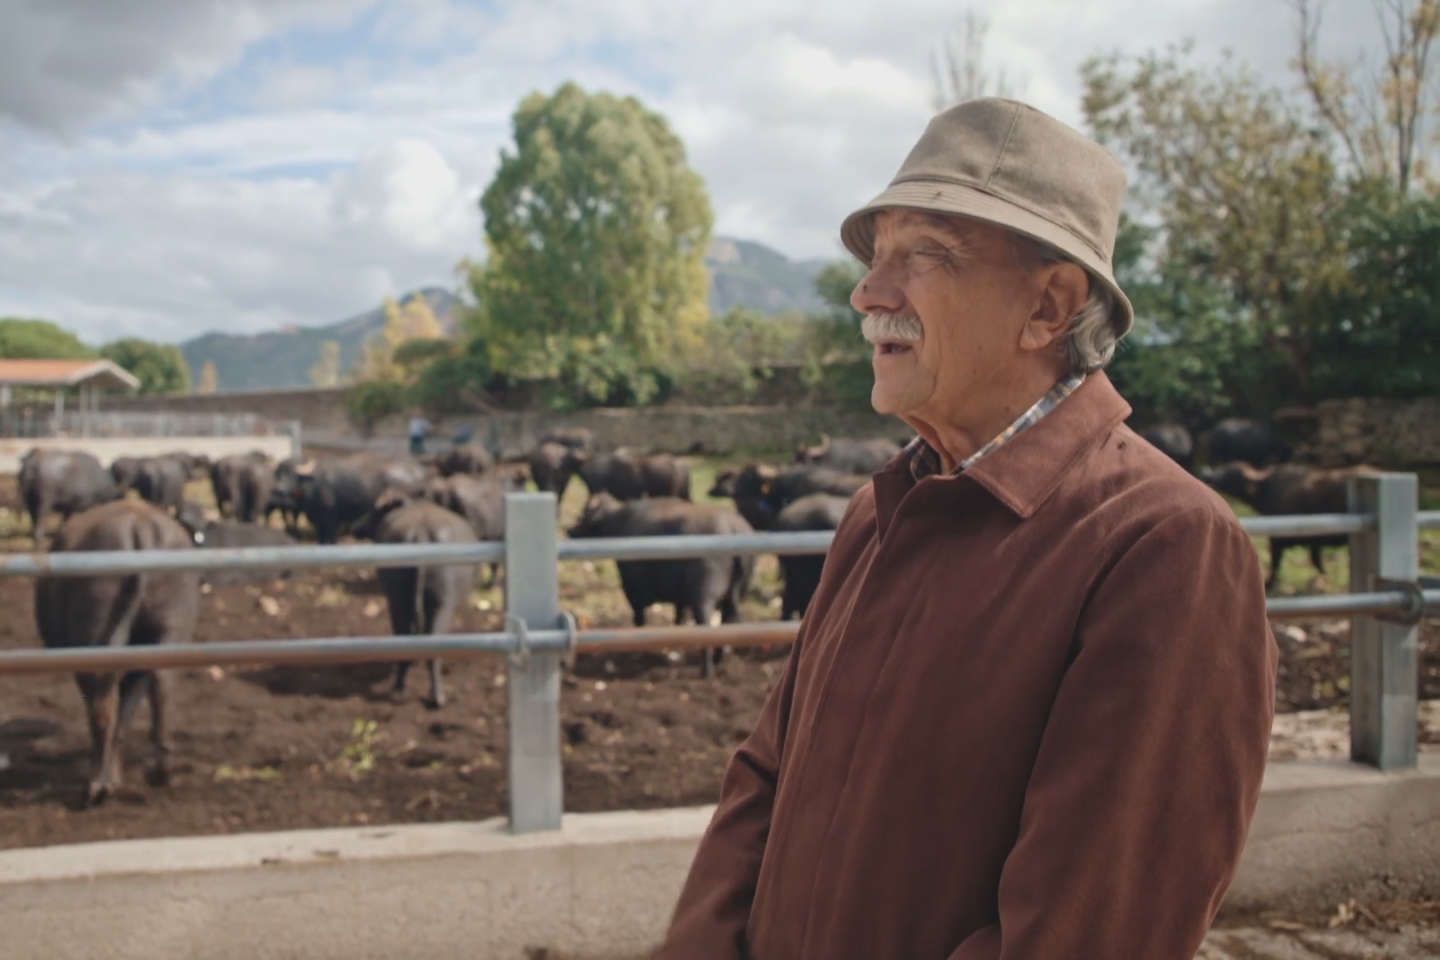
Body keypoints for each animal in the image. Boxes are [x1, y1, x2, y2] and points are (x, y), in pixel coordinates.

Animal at [35, 500, 200, 805]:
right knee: (162, 683)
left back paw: (97, 786)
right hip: (172, 625)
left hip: (96, 638)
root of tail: (140, 525)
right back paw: (161, 772)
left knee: (102, 707)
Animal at [354, 495, 478, 705]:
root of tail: (420, 534)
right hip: (440, 603)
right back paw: (437, 696)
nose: (356, 526)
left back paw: (400, 690)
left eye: (374, 511)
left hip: (399, 600)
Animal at [1198, 460, 1376, 590]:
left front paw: (1269, 583)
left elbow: (1276, 563)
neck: (1267, 488)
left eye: (1230, 473)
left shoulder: (1277, 540)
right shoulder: (1314, 542)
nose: (1209, 474)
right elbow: (1315, 560)